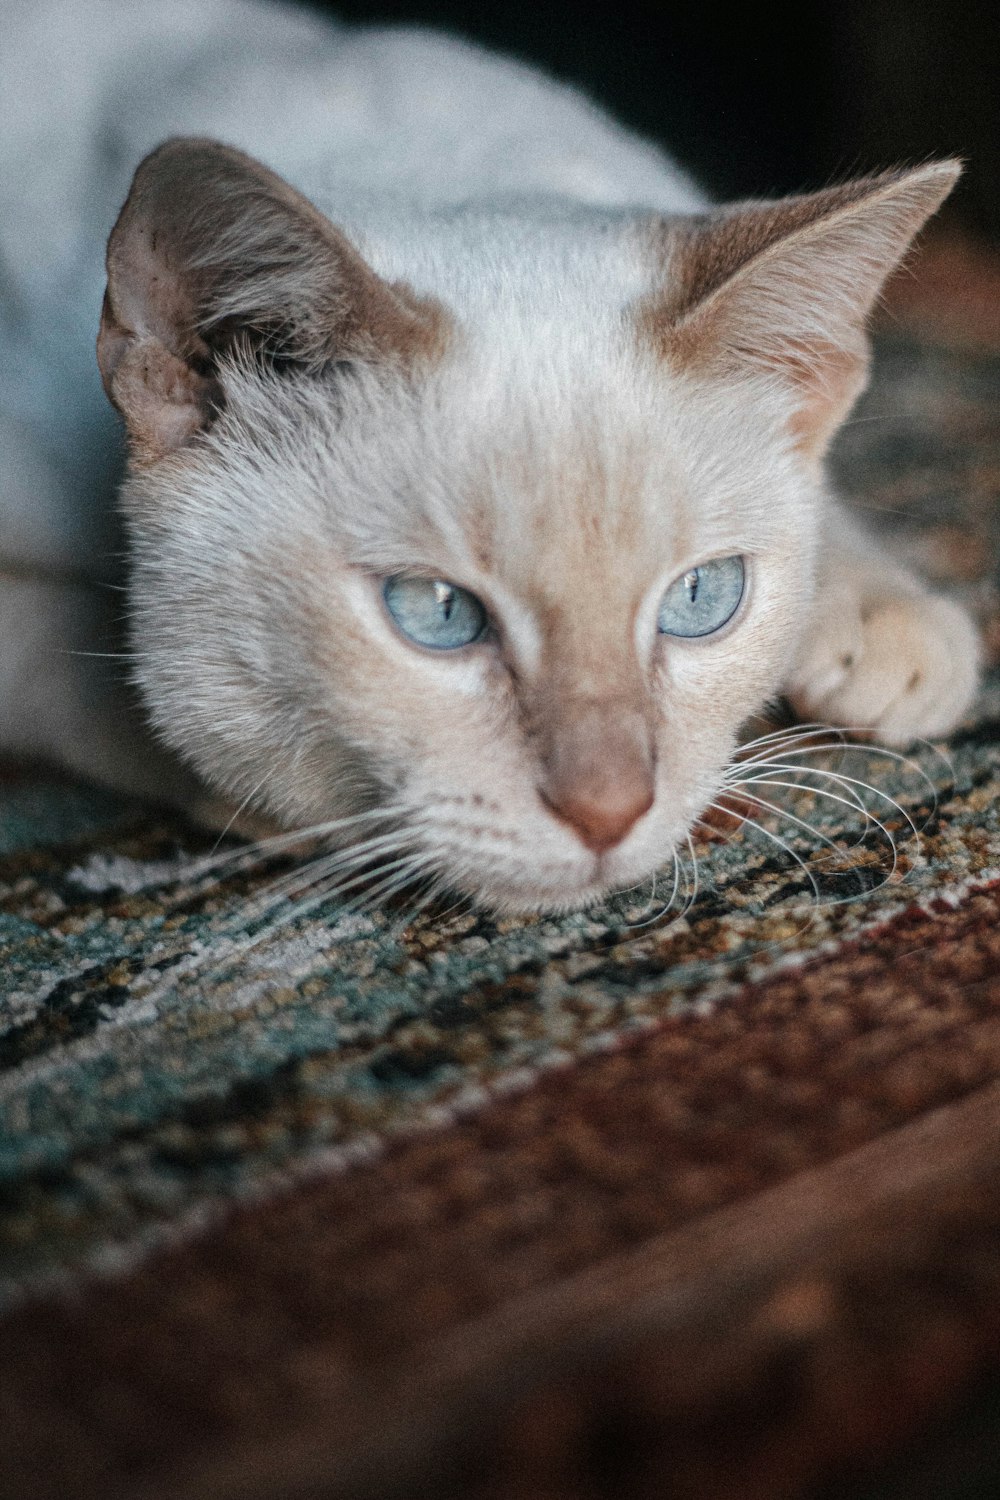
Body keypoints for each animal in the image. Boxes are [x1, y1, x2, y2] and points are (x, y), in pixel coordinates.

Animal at [0, 0, 983, 912]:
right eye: (435, 614)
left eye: (702, 599)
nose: (607, 812)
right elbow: (116, 681)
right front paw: (265, 802)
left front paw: (883, 624)